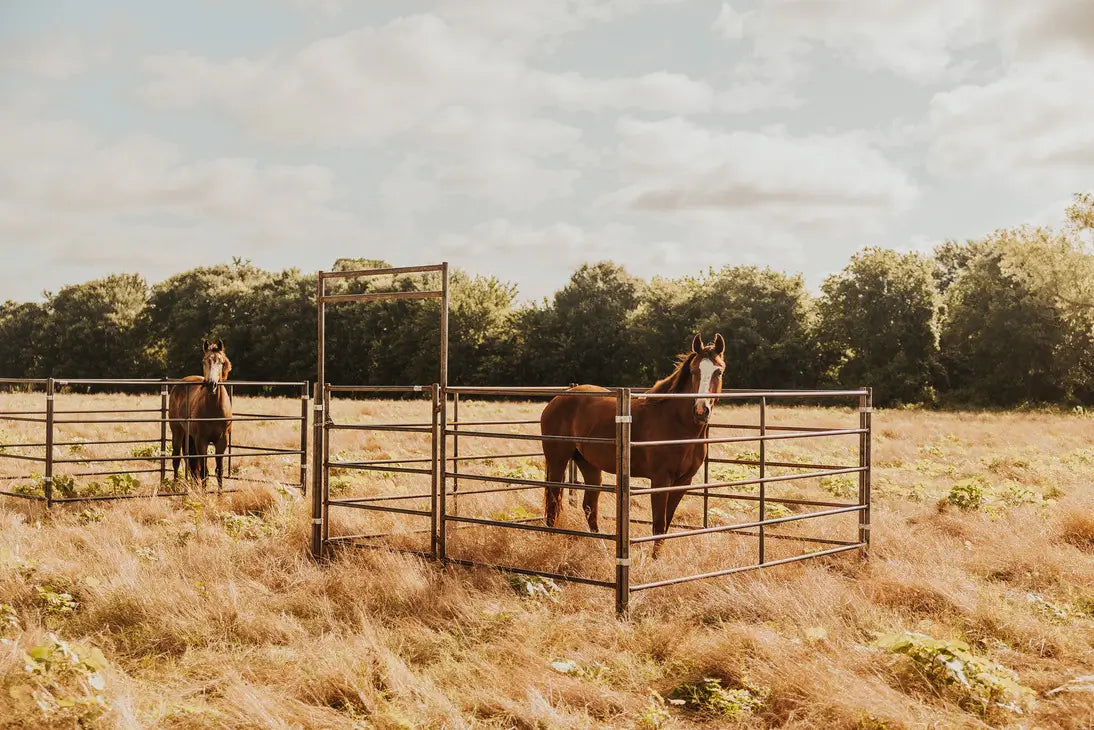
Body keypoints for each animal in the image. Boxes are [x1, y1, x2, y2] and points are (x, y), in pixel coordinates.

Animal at [168, 339, 233, 488]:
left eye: (220, 362)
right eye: (204, 361)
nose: (211, 384)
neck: (214, 410)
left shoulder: (222, 441)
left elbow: (219, 471)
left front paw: (220, 493)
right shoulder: (201, 441)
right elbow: (204, 471)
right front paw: (204, 493)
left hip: (189, 435)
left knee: (191, 462)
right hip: (177, 430)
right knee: (176, 458)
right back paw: (174, 485)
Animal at [540, 334, 726, 551]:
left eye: (718, 371)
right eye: (694, 370)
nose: (701, 410)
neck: (677, 423)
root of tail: (557, 399)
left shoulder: (682, 482)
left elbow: (667, 523)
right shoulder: (660, 480)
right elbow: (659, 524)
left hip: (588, 464)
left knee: (589, 506)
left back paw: (602, 548)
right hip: (557, 461)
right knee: (553, 500)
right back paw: (550, 540)